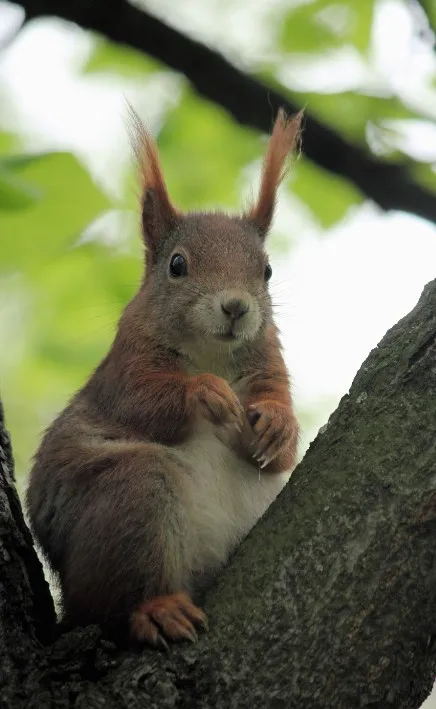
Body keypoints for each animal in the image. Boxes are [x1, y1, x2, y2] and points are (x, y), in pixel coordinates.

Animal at [25, 109, 302, 648]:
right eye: (177, 265)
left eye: (266, 271)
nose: (236, 307)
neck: (211, 353)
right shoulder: (124, 368)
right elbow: (144, 404)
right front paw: (204, 392)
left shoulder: (270, 365)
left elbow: (281, 453)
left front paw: (279, 425)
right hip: (132, 498)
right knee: (117, 599)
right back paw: (157, 610)